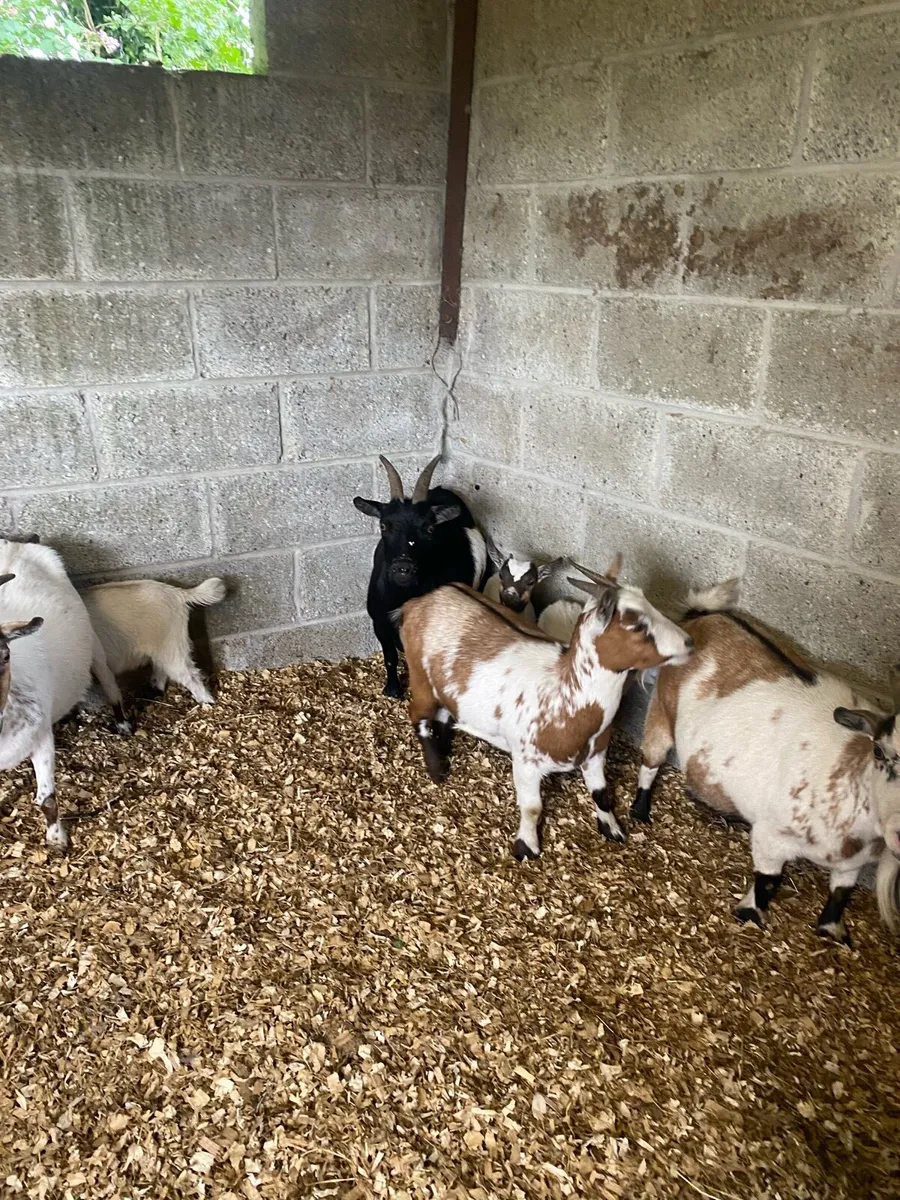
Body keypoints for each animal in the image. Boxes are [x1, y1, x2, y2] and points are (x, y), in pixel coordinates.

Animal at [0, 539, 132, 850]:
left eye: (5, 655)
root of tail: (18, 544)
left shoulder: (40, 737)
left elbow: (47, 798)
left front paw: (57, 840)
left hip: (92, 642)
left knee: (108, 680)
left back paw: (123, 724)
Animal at [82, 578, 226, 705]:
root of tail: (177, 593)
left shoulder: (99, 663)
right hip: (164, 648)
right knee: (162, 670)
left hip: (171, 647)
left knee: (189, 675)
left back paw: (207, 701)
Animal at [353, 455, 487, 698]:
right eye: (384, 525)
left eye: (430, 528)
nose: (403, 568)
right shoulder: (379, 620)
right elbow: (390, 657)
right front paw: (392, 690)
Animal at [399, 556, 693, 858]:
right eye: (637, 625)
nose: (689, 642)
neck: (564, 692)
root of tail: (420, 602)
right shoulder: (526, 760)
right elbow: (532, 808)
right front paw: (526, 846)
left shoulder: (596, 753)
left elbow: (601, 794)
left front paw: (612, 829)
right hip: (420, 676)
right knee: (418, 714)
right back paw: (436, 769)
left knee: (444, 712)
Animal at [632, 579, 900, 945]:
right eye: (880, 752)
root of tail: (706, 616)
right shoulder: (772, 836)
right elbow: (769, 880)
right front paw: (749, 913)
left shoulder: (855, 862)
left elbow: (842, 892)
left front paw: (832, 929)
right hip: (660, 708)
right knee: (651, 760)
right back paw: (640, 811)